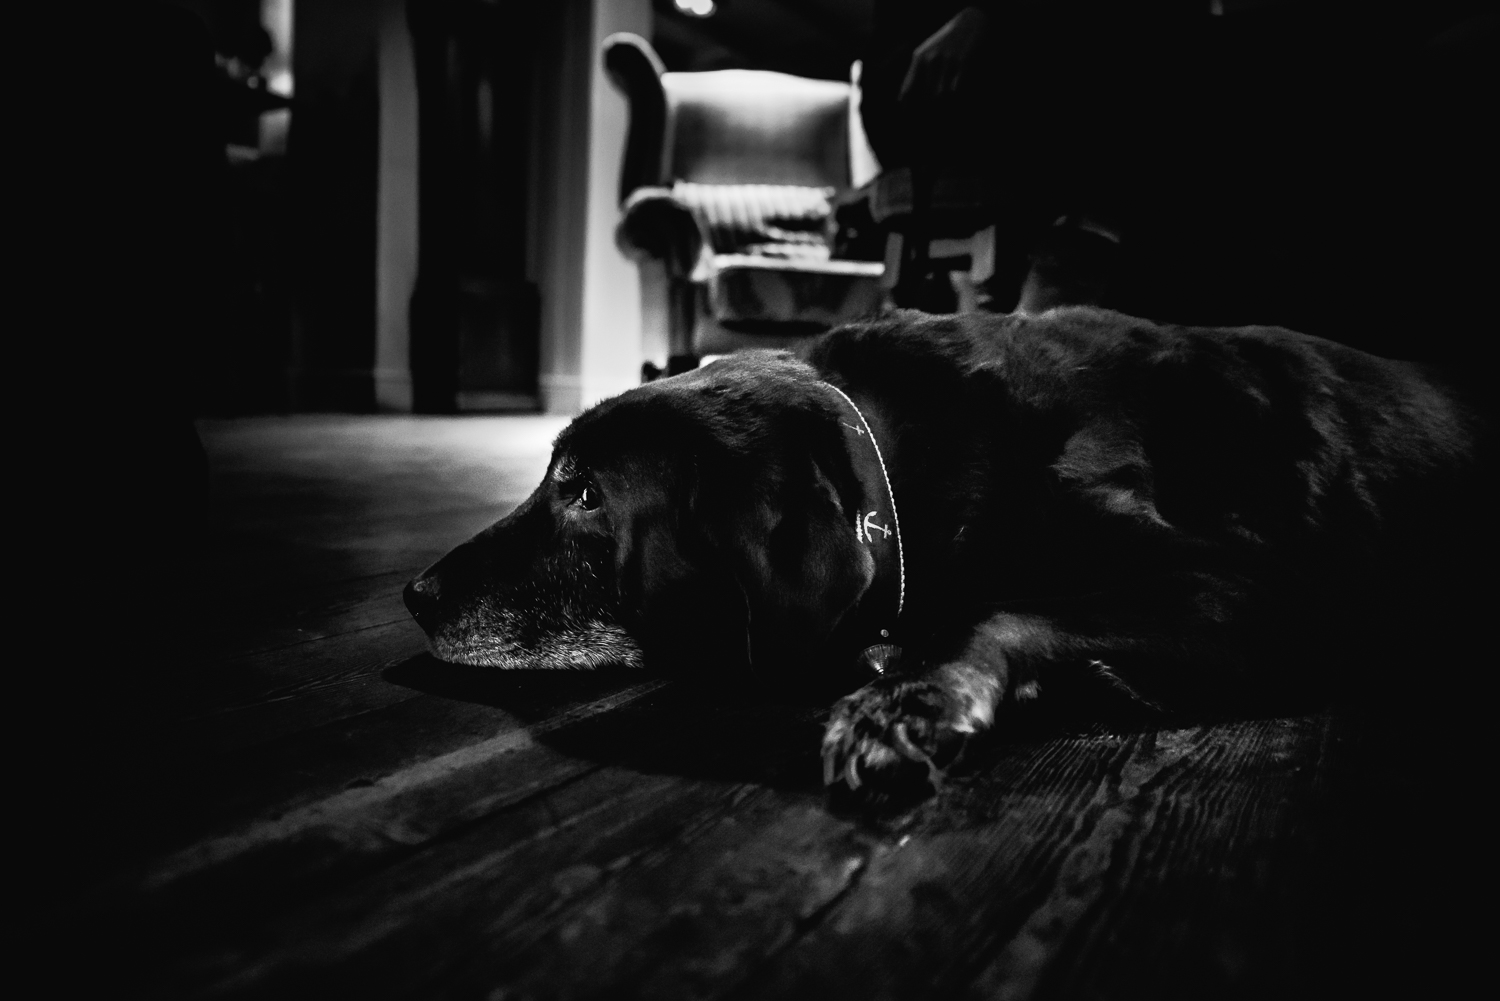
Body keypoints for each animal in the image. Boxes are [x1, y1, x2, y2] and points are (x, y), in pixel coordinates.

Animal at [402, 310, 1488, 798]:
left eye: (584, 491)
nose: (412, 593)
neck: (892, 462)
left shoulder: (1274, 587)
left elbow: (1004, 612)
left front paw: (915, 694)